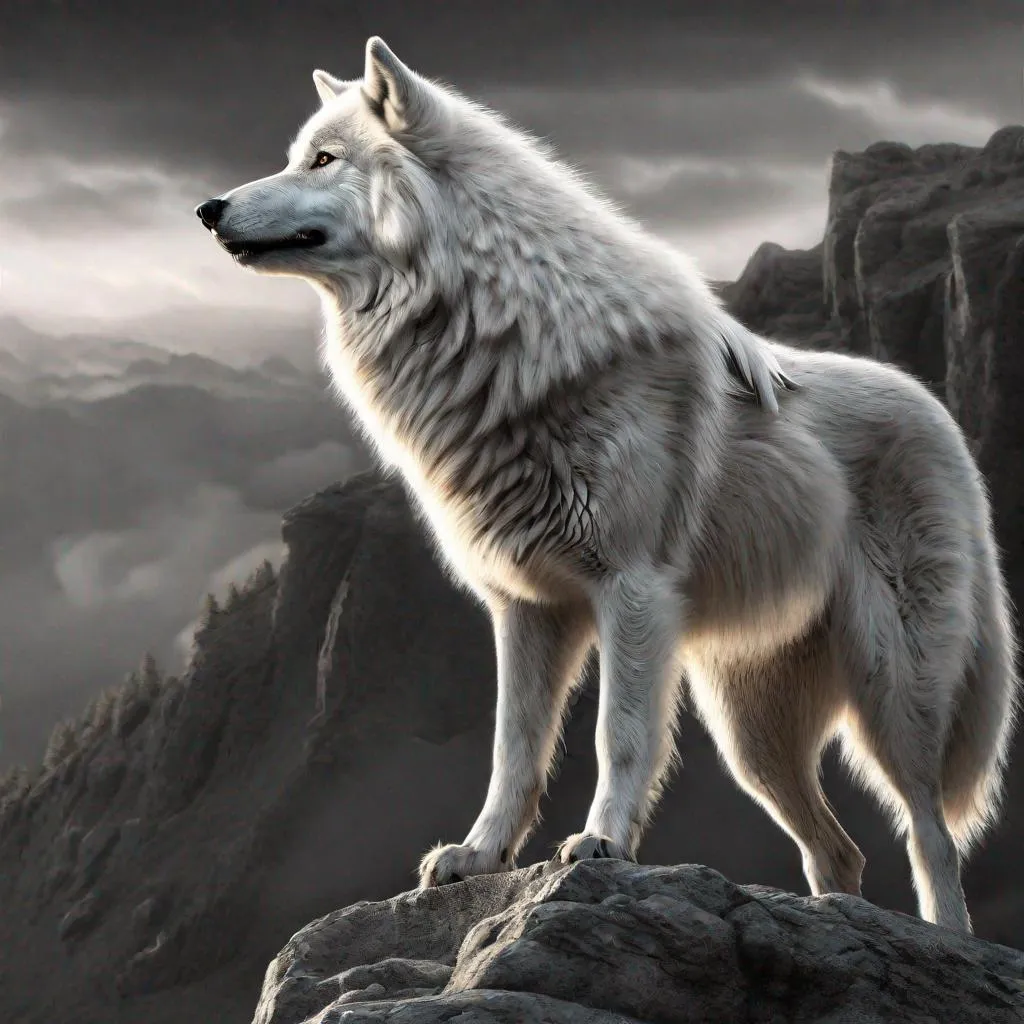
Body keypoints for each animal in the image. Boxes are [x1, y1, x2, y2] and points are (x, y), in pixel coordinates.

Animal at [196, 36, 1019, 932]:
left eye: (323, 158)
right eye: (295, 155)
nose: (208, 208)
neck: (499, 337)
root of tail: (942, 419)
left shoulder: (630, 589)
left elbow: (616, 734)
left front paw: (602, 843)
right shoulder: (525, 606)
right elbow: (514, 749)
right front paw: (480, 855)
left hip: (893, 686)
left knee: (931, 833)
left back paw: (946, 936)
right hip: (750, 730)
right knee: (841, 852)